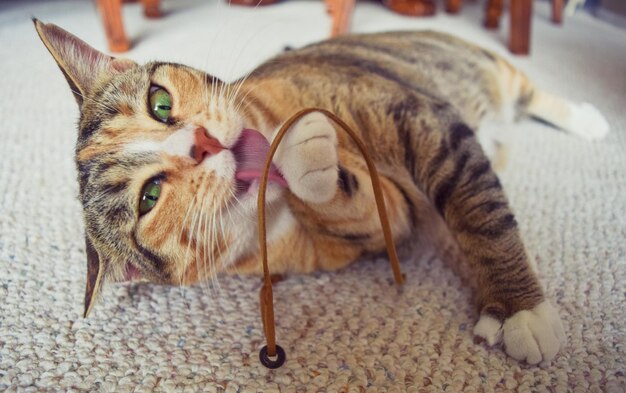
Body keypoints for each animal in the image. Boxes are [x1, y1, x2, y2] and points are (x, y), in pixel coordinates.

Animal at [31, 19, 608, 364]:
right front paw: (305, 154)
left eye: (160, 102)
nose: (199, 144)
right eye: (148, 198)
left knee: (533, 93)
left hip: (489, 70)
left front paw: (519, 311)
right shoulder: (377, 223)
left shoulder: (415, 113)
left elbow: (479, 210)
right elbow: (355, 206)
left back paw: (587, 119)